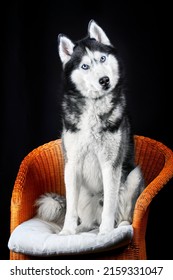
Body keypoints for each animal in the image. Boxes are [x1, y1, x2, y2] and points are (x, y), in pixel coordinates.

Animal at [36, 19, 145, 235]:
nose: (104, 80)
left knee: (122, 213)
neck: (94, 107)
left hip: (133, 177)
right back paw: (83, 228)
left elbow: (110, 206)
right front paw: (66, 233)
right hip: (84, 194)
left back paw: (119, 226)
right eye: (85, 66)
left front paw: (105, 233)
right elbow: (70, 209)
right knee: (86, 219)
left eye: (102, 58)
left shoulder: (111, 164)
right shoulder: (72, 164)